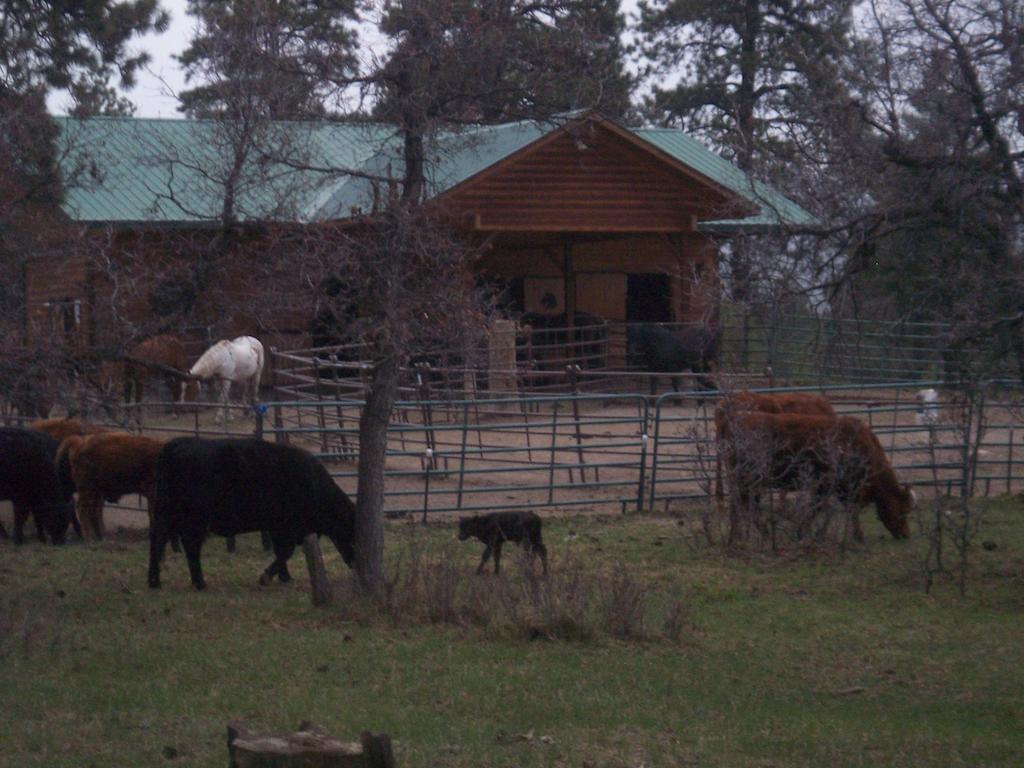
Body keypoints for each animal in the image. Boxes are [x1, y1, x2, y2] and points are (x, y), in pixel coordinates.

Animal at [148, 436, 356, 593]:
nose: (356, 563)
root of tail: (176, 443)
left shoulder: (277, 526)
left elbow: (281, 551)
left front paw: (284, 576)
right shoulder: (286, 526)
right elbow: (285, 551)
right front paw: (267, 577)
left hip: (166, 512)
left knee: (158, 540)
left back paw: (154, 581)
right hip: (194, 519)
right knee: (190, 546)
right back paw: (199, 582)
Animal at [720, 411, 913, 544]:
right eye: (903, 510)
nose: (906, 534)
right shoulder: (831, 485)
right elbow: (824, 507)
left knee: (741, 503)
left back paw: (738, 534)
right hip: (748, 479)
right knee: (746, 504)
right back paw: (758, 533)